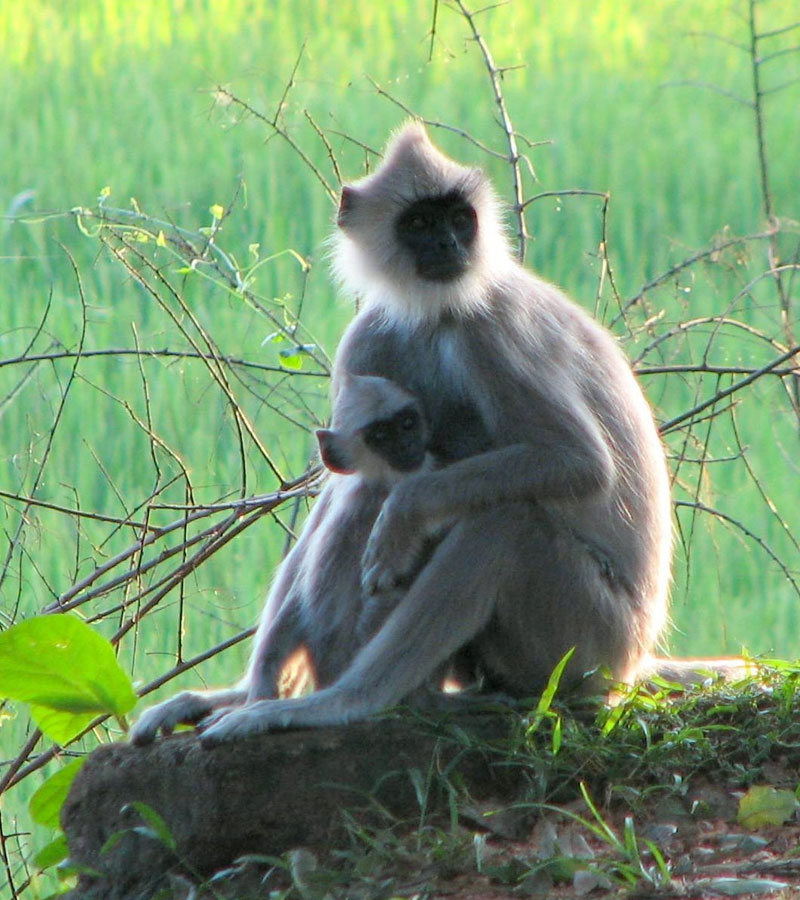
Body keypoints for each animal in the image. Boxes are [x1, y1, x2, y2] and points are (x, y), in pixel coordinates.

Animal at [133, 121, 735, 747]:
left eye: (458, 219)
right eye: (420, 223)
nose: (449, 246)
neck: (436, 312)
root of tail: (633, 660)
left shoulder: (493, 328)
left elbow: (579, 462)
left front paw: (403, 514)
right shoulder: (368, 336)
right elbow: (345, 474)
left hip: (587, 640)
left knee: (504, 523)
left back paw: (344, 701)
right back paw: (255, 696)